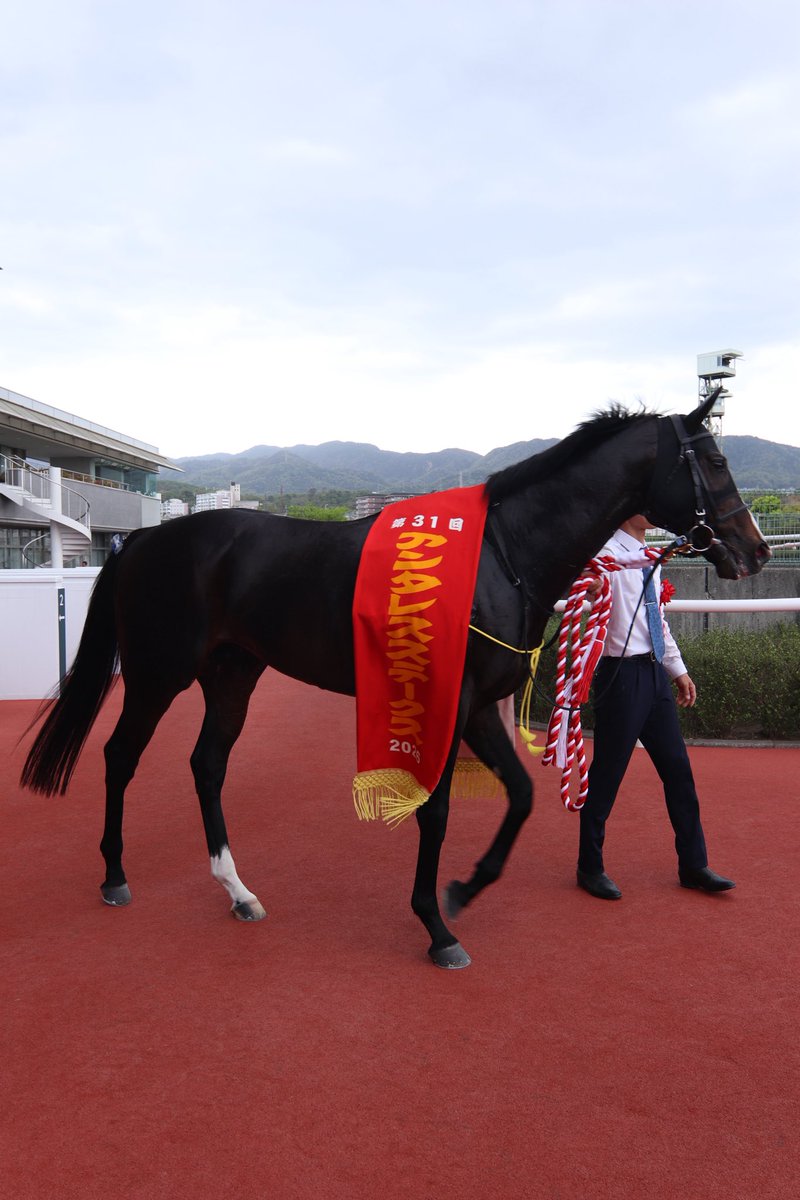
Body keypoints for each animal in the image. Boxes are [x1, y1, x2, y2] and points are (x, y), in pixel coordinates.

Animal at [21, 393, 770, 968]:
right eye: (712, 460)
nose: (756, 550)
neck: (502, 555)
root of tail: (142, 540)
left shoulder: (479, 705)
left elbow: (523, 795)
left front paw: (465, 888)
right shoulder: (452, 700)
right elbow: (435, 809)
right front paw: (437, 926)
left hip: (232, 674)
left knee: (206, 764)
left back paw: (238, 891)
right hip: (158, 672)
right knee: (120, 755)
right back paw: (115, 874)